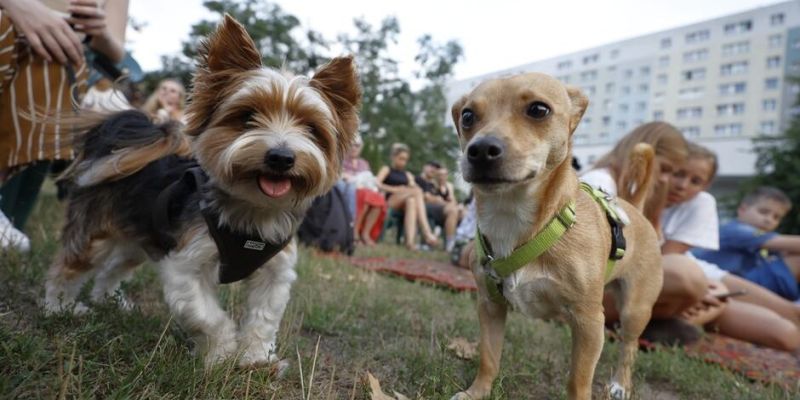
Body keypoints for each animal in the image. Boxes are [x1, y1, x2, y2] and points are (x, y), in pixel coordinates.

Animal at [450, 73, 664, 398]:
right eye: (467, 116)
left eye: (539, 110)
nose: (481, 149)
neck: (512, 217)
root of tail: (634, 210)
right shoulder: (489, 305)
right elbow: (489, 357)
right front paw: (477, 392)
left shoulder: (589, 322)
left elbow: (578, 380)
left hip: (634, 311)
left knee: (629, 347)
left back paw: (619, 383)